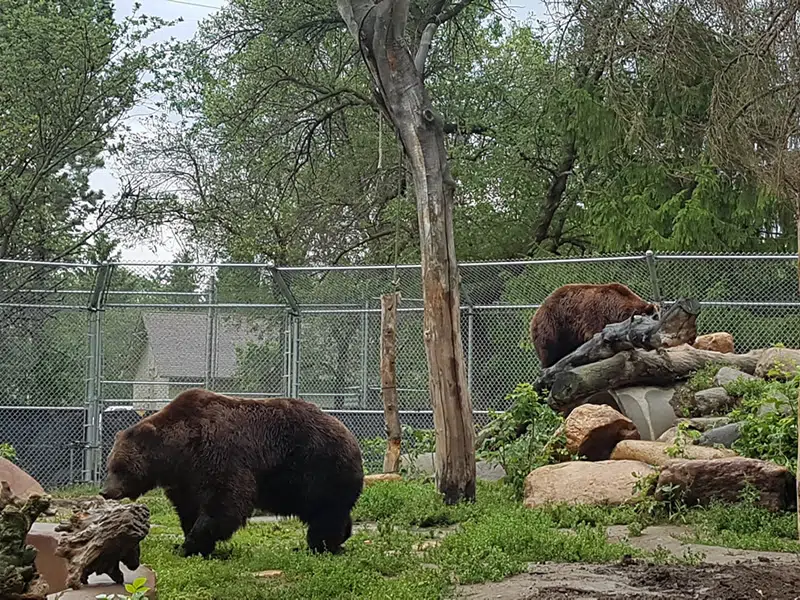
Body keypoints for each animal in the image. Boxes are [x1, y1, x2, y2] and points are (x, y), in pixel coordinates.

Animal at [101, 390, 366, 556]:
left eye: (119, 467)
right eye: (109, 466)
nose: (105, 491)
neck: (179, 451)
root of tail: (351, 436)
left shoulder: (218, 454)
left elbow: (225, 501)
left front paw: (190, 545)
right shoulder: (185, 479)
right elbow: (188, 507)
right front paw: (188, 542)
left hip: (320, 467)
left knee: (326, 513)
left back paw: (320, 546)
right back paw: (339, 538)